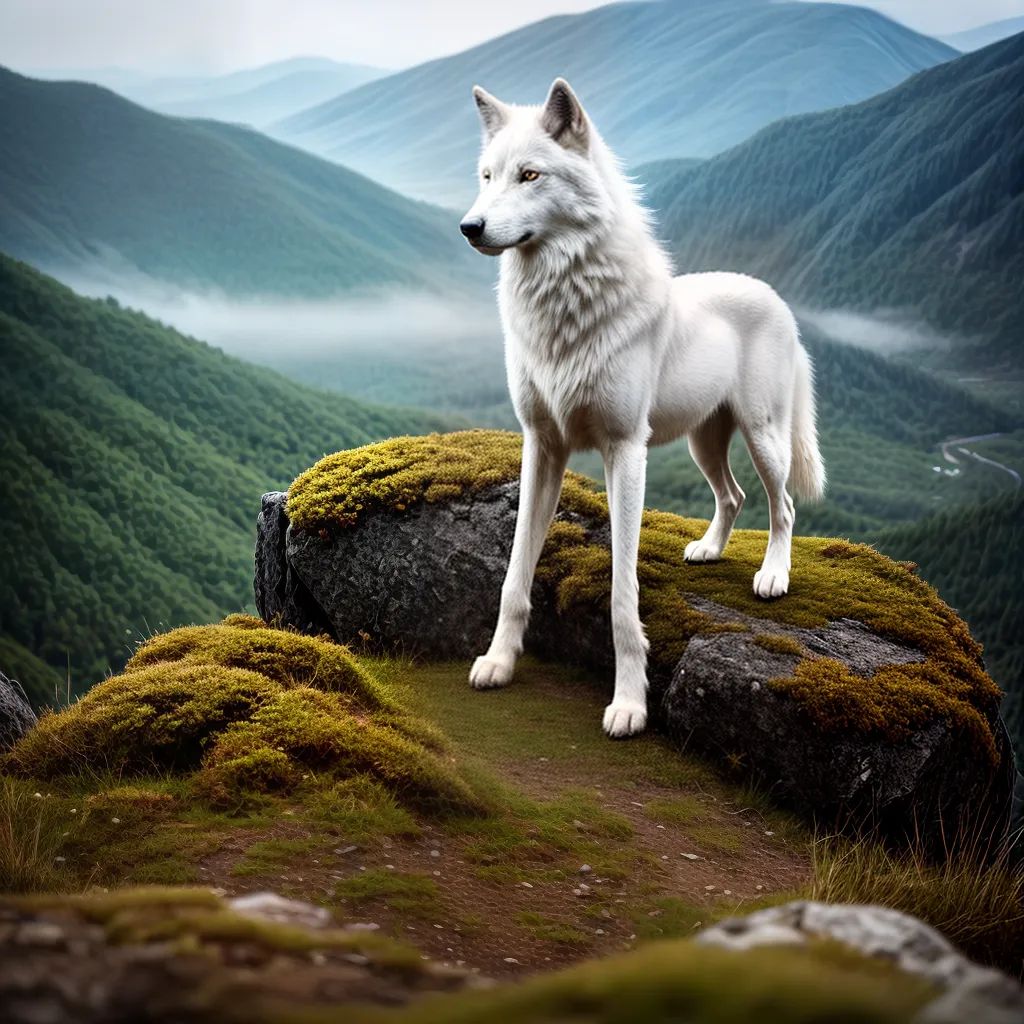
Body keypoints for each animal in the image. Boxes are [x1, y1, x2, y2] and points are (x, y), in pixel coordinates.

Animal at [459, 79, 826, 738]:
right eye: (486, 176)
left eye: (530, 175)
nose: (468, 226)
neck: (563, 305)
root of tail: (776, 297)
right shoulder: (542, 447)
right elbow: (514, 576)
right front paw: (498, 662)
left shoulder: (625, 450)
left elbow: (621, 595)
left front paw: (629, 704)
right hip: (704, 443)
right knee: (732, 496)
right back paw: (708, 550)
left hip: (763, 438)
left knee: (781, 505)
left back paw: (773, 576)